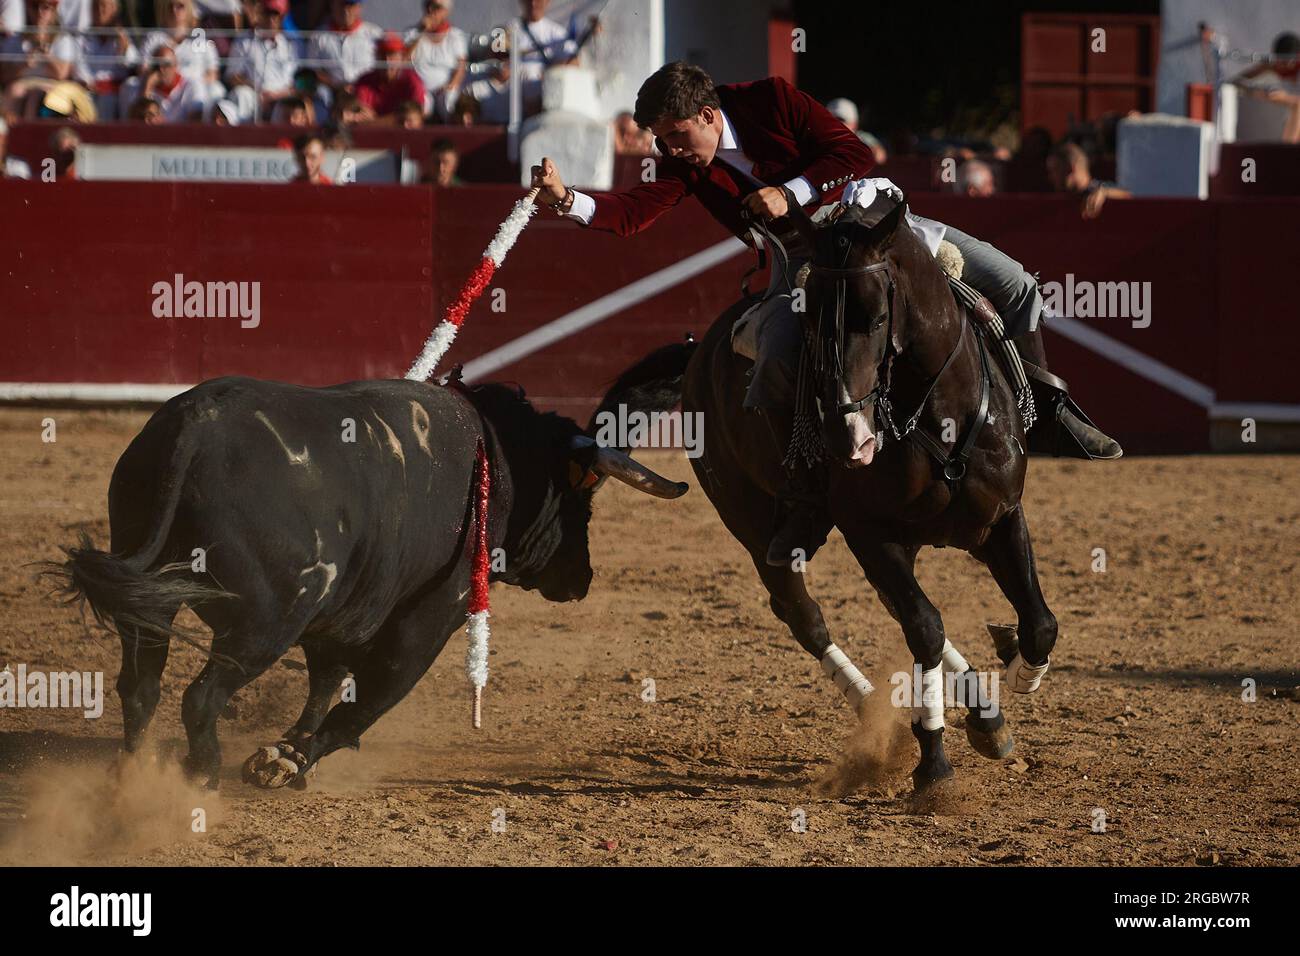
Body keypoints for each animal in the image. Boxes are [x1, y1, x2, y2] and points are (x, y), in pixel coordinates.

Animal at [47, 377, 686, 790]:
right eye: (582, 503)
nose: (581, 578)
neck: (497, 457)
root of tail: (195, 431)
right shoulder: (432, 616)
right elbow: (372, 694)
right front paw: (288, 761)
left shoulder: (343, 611)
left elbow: (327, 681)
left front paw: (288, 754)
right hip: (267, 620)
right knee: (200, 697)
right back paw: (199, 776)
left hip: (155, 599)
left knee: (140, 687)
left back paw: (135, 773)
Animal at [603, 200, 1060, 790]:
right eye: (810, 317)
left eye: (879, 317)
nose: (849, 439)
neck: (939, 417)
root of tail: (698, 352)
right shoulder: (871, 535)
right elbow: (925, 627)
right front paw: (933, 762)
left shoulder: (1002, 517)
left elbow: (1038, 623)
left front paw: (1011, 675)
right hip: (751, 526)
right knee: (802, 612)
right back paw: (874, 708)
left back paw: (984, 714)